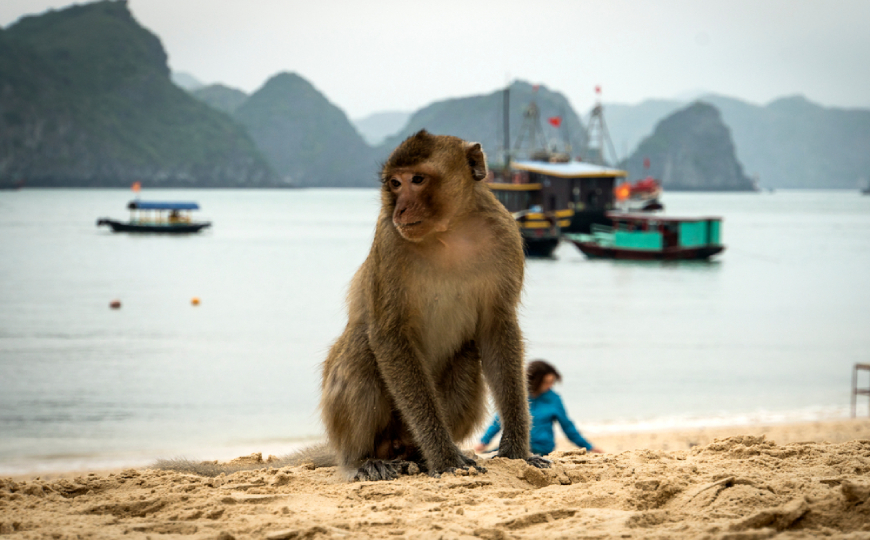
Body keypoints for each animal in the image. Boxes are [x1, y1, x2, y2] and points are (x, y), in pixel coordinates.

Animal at [324, 130, 548, 480]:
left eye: (417, 179)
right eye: (395, 183)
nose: (401, 209)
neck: (450, 231)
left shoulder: (505, 234)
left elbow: (497, 328)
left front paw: (517, 451)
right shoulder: (389, 240)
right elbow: (389, 335)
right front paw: (443, 457)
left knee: (466, 357)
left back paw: (417, 455)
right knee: (362, 346)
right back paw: (361, 460)